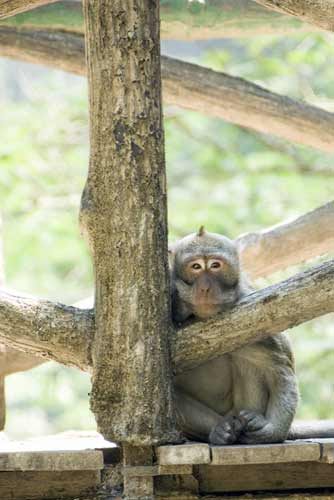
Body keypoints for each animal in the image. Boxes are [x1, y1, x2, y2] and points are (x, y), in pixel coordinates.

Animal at [170, 228, 300, 446]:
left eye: (215, 265)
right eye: (196, 267)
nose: (205, 288)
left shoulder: (256, 315)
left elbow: (280, 369)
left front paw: (271, 431)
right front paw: (221, 429)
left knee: (246, 361)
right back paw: (221, 429)